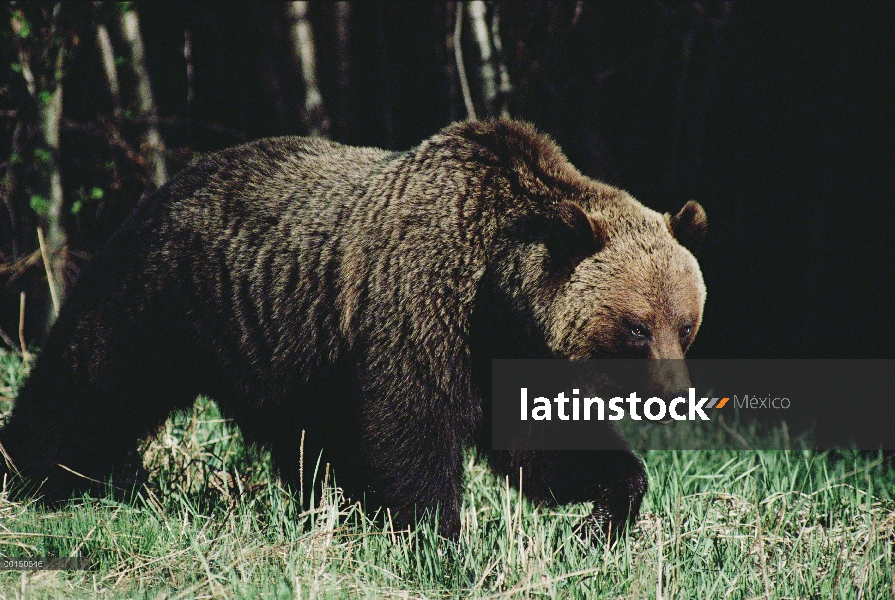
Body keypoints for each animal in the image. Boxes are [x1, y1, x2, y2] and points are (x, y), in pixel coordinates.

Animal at [0, 120, 708, 540]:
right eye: (636, 327)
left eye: (686, 324)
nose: (675, 395)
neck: (499, 301)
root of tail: (170, 181)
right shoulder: (421, 313)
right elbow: (411, 432)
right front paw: (435, 537)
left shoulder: (506, 359)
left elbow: (543, 446)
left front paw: (607, 511)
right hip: (169, 295)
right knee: (92, 381)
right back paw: (33, 472)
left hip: (283, 348)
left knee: (304, 439)